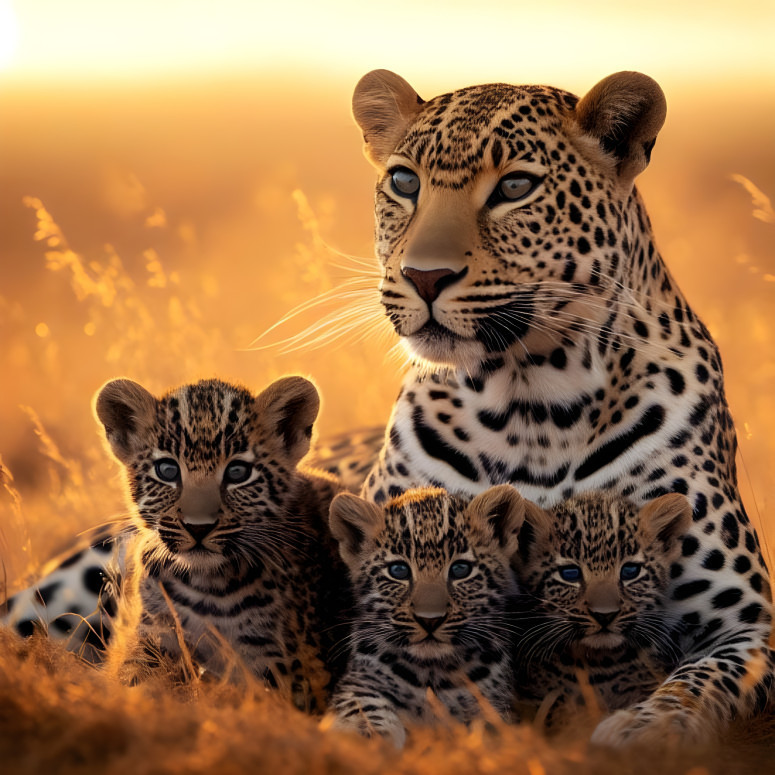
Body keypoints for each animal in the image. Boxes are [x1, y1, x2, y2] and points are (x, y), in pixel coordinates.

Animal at [350, 69, 768, 748]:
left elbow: (700, 687)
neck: (533, 404)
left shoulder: (745, 623)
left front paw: (641, 731)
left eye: (516, 187)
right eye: (405, 183)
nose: (424, 276)